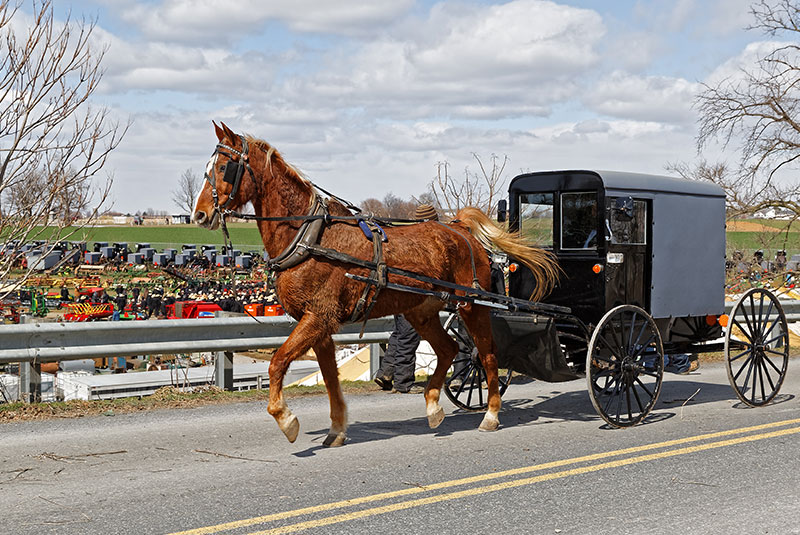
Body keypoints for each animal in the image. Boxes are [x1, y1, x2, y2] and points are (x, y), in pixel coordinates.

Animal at [193, 122, 556, 448]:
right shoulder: (320, 325)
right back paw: (433, 405)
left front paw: (286, 419)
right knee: (449, 350)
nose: (199, 215)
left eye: (224, 167)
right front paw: (337, 429)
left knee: (486, 354)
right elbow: (330, 378)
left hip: (471, 305)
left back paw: (491, 414)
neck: (309, 237)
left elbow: (277, 363)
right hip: (421, 312)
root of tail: (458, 227)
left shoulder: (317, 318)